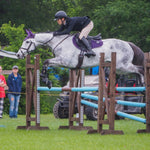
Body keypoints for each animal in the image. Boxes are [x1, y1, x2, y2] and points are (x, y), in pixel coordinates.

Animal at [16, 29, 144, 86]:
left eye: (27, 42)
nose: (18, 54)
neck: (59, 43)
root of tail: (128, 44)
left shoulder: (63, 61)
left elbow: (46, 62)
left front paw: (46, 80)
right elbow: (46, 63)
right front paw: (46, 79)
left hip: (122, 66)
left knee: (140, 70)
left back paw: (142, 84)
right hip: (120, 68)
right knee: (137, 71)